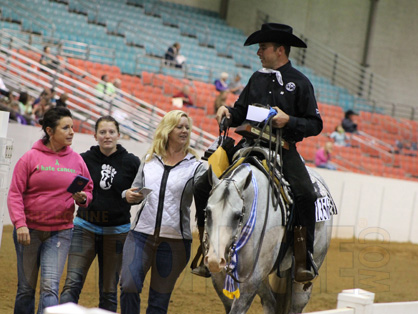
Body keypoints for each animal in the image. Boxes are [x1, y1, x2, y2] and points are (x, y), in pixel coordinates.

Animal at [203, 162, 336, 314]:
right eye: (207, 212)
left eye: (237, 216)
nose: (215, 260)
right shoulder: (220, 278)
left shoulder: (250, 281)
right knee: (271, 301)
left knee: (296, 304)